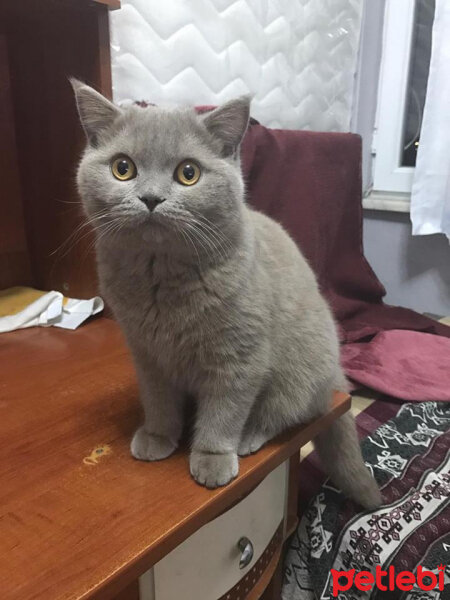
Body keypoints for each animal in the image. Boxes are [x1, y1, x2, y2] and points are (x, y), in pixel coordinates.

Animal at [73, 79, 380, 508]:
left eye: (188, 173)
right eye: (123, 168)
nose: (150, 197)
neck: (161, 280)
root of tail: (336, 375)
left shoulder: (239, 358)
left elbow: (224, 411)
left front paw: (212, 458)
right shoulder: (146, 353)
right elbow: (158, 399)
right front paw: (158, 436)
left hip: (298, 372)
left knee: (283, 413)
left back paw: (248, 439)